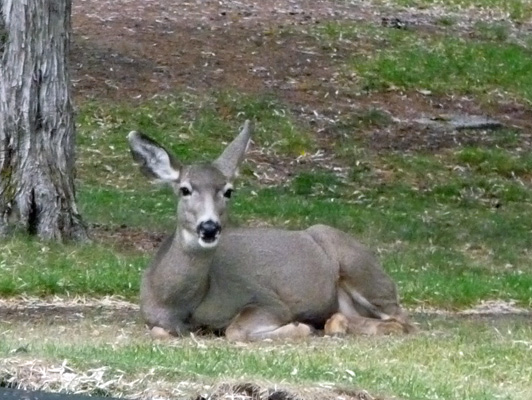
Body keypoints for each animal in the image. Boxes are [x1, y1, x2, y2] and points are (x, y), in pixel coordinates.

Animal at [127, 119, 414, 340]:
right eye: (185, 189)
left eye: (228, 191)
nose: (209, 227)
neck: (176, 301)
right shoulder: (154, 319)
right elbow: (160, 332)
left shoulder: (264, 298)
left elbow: (235, 330)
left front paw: (299, 328)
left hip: (362, 270)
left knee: (403, 319)